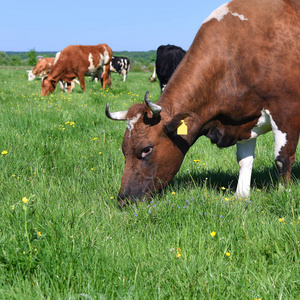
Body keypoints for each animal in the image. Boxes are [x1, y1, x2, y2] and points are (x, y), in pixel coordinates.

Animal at [106, 0, 300, 207]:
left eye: (146, 149)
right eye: (124, 149)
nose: (123, 200)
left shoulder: (286, 112)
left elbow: (282, 159)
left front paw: (285, 196)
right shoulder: (244, 118)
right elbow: (244, 160)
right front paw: (241, 196)